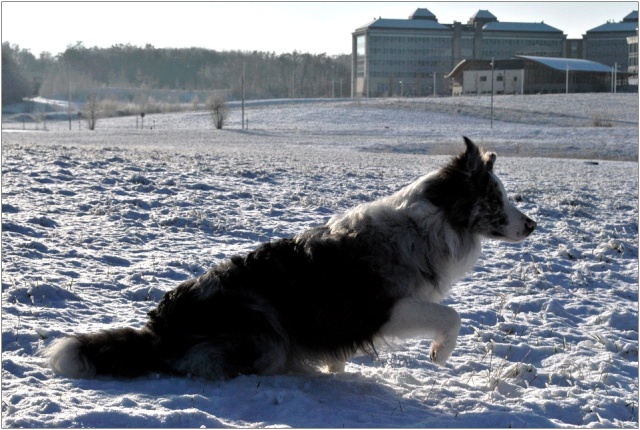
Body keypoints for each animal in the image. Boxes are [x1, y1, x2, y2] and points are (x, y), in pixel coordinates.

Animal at [43, 138, 536, 380]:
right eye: (496, 198)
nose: (533, 225)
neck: (429, 223)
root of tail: (157, 328)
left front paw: (336, 367)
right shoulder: (384, 308)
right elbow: (450, 316)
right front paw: (439, 353)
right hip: (266, 332)